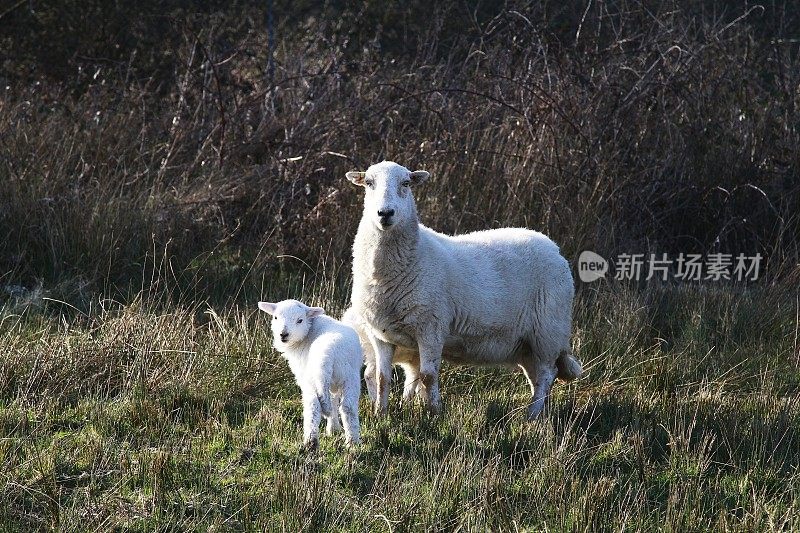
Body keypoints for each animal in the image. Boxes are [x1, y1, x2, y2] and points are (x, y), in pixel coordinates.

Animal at [260, 298, 362, 446]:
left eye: (300, 320)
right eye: (275, 317)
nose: (283, 334)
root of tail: (328, 352)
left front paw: (332, 429)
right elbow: (333, 401)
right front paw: (334, 429)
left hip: (313, 379)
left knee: (313, 407)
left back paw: (310, 441)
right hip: (349, 376)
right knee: (348, 407)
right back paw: (353, 442)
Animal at [344, 160, 580, 418]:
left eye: (406, 183)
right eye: (369, 183)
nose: (385, 213)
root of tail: (553, 247)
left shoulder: (431, 327)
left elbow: (427, 376)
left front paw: (434, 413)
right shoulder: (380, 335)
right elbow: (382, 377)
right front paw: (381, 414)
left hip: (548, 330)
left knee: (547, 374)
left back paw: (533, 415)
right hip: (525, 342)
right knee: (535, 377)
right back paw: (532, 412)